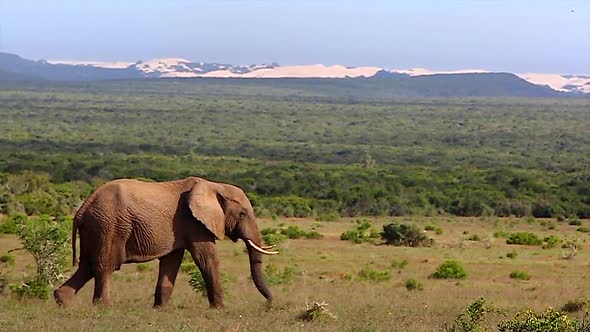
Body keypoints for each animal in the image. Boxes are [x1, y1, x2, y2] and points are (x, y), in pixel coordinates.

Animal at [53, 176, 280, 308]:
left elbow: (172, 261)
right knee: (105, 266)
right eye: (242, 214)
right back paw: (104, 308)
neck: (215, 186)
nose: (271, 304)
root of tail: (82, 209)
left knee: (87, 266)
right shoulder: (195, 223)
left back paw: (63, 301)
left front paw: (160, 309)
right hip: (108, 226)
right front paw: (220, 309)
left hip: (95, 229)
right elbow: (206, 259)